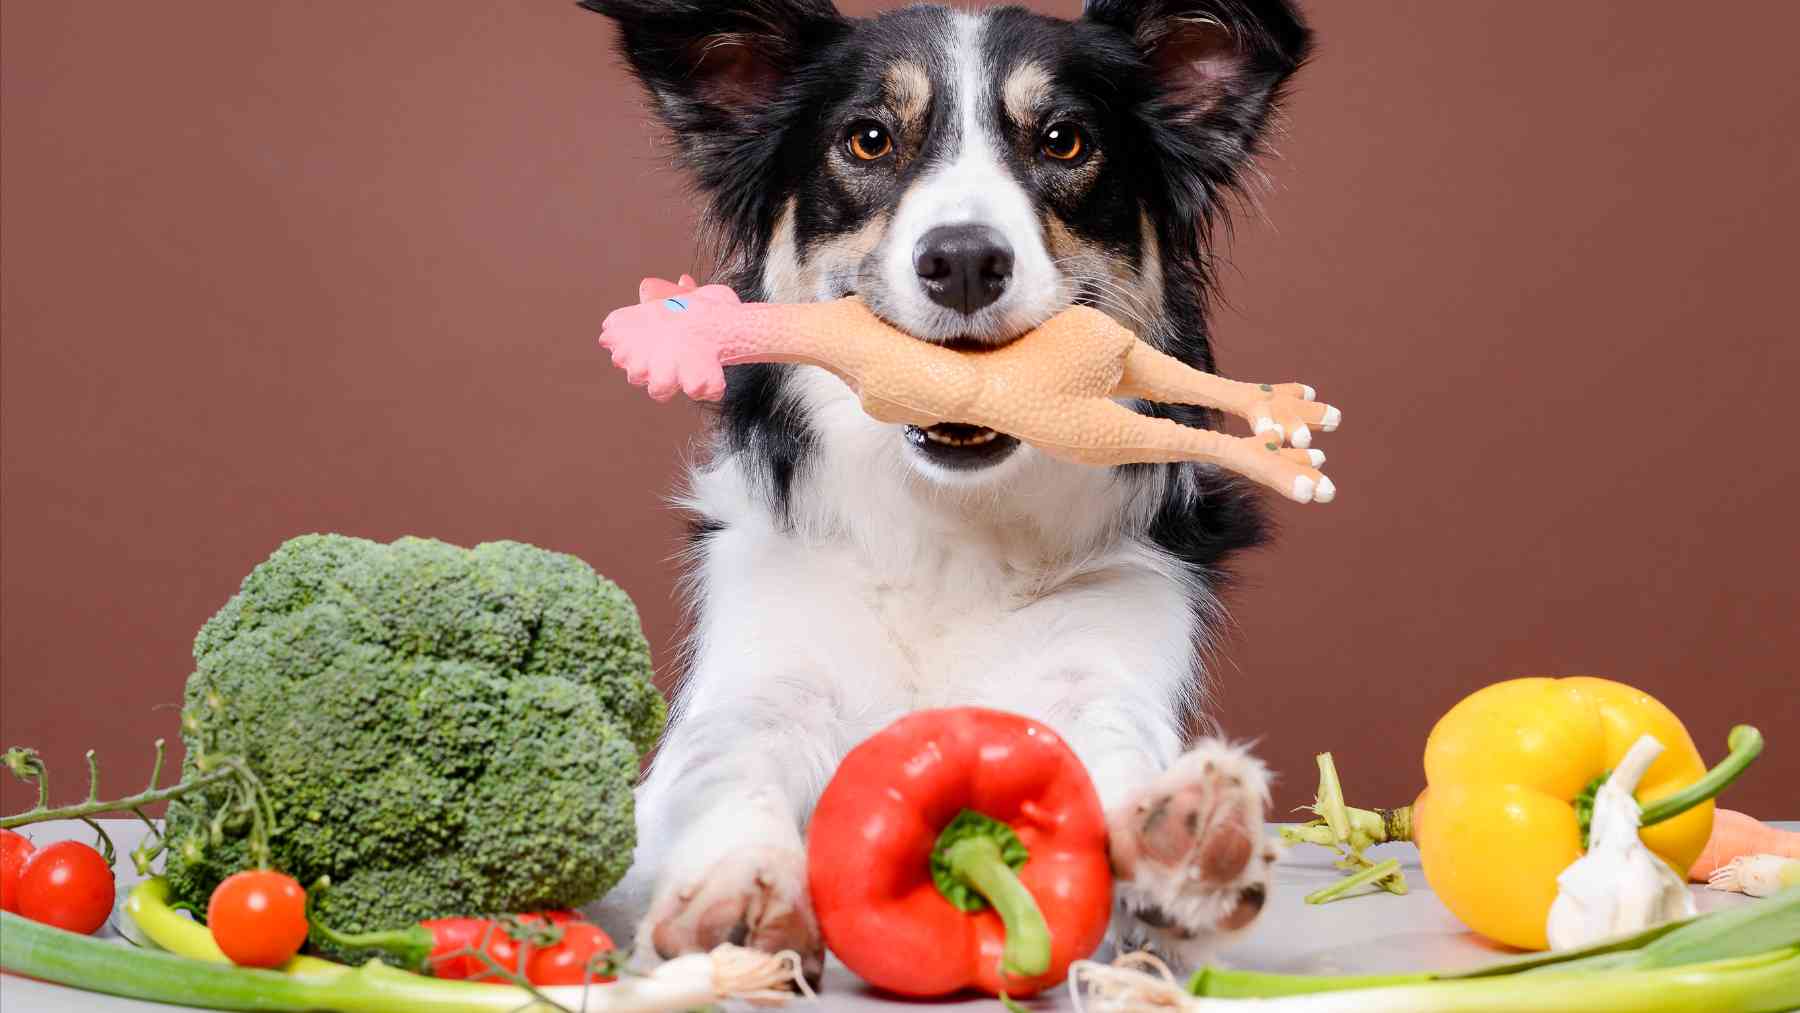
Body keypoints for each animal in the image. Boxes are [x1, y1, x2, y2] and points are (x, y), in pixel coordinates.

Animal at [583, 0, 1317, 986]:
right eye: (868, 139)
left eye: (1064, 139)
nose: (964, 260)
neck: (949, 531)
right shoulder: (760, 671)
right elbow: (725, 762)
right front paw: (740, 881)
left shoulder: (1111, 649)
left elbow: (1113, 747)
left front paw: (1182, 845)